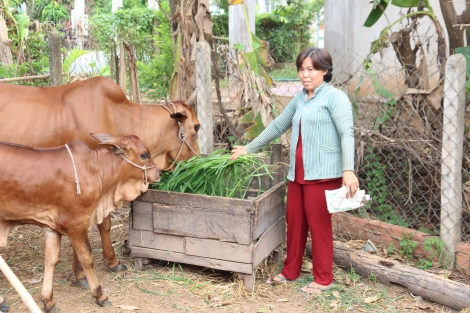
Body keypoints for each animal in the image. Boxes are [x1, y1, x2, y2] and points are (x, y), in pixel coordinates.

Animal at [0, 77, 200, 286]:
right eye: (196, 126)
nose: (198, 160)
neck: (115, 113)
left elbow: (103, 224)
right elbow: (99, 225)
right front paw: (91, 270)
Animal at [0, 133, 160, 310]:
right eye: (144, 155)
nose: (158, 173)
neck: (95, 170)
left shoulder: (51, 228)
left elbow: (51, 260)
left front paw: (48, 301)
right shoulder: (75, 224)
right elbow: (87, 258)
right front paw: (99, 295)